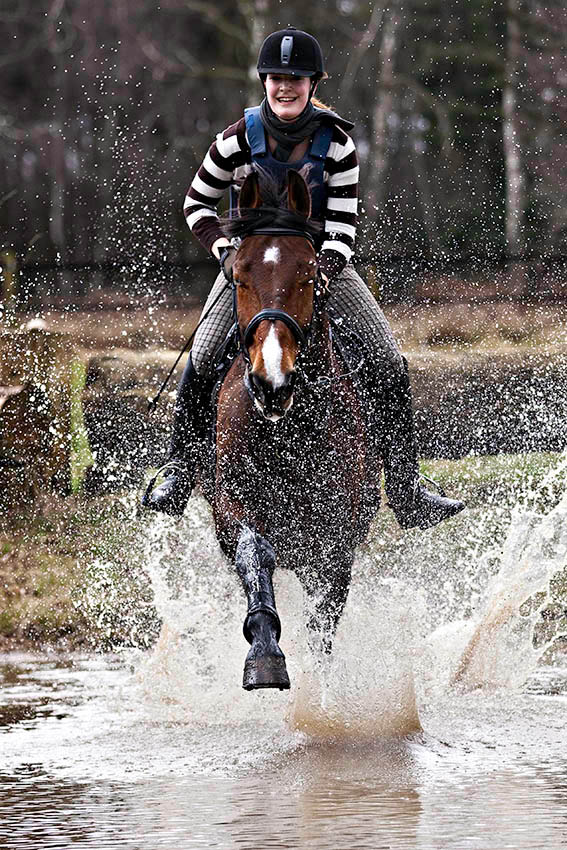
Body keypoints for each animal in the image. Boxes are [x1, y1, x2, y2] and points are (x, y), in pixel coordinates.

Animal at [199, 171, 382, 688]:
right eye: (239, 276)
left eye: (308, 275)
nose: (272, 381)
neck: (287, 431)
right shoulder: (233, 507)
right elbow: (255, 555)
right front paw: (264, 658)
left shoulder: (336, 539)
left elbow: (324, 623)